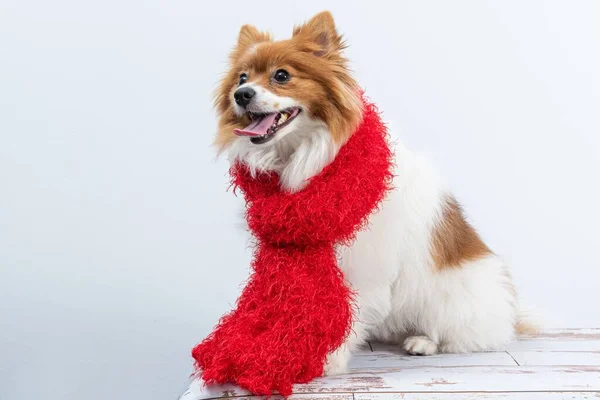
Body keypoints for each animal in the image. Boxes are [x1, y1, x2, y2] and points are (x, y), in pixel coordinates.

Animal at [212, 11, 536, 376]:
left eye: (281, 75)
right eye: (242, 78)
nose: (241, 94)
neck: (306, 162)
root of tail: (510, 314)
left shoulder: (366, 262)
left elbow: (347, 312)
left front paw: (329, 359)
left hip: (450, 295)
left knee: (455, 333)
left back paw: (423, 341)